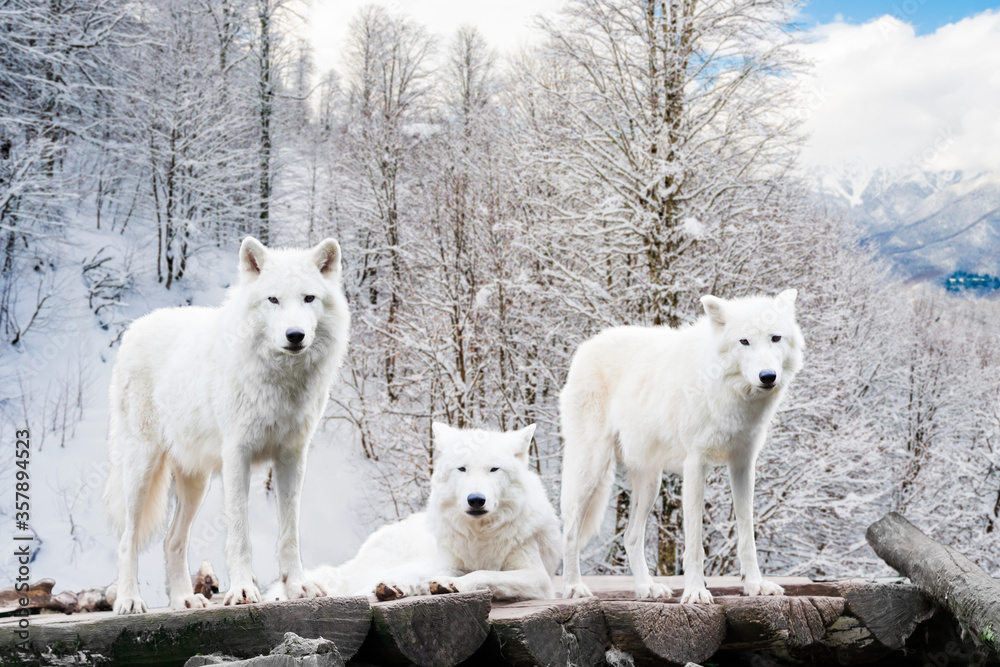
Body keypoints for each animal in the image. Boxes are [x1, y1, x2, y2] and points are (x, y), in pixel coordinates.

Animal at [103, 236, 349, 614]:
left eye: (309, 298)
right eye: (273, 299)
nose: (295, 335)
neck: (280, 381)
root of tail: (134, 327)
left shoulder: (292, 457)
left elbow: (289, 532)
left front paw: (298, 587)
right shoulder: (237, 455)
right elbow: (239, 532)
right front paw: (244, 591)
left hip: (195, 483)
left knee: (171, 540)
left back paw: (184, 600)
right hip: (141, 469)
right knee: (127, 539)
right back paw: (130, 600)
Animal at [295, 423, 561, 601]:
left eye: (494, 469)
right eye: (462, 469)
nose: (476, 500)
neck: (480, 535)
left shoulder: (538, 577)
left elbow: (486, 574)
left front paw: (452, 584)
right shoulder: (446, 563)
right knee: (362, 588)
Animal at [559, 290, 804, 603]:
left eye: (775, 338)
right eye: (744, 341)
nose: (768, 376)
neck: (729, 395)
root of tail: (586, 346)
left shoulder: (743, 465)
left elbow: (747, 535)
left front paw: (755, 585)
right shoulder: (695, 465)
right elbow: (694, 543)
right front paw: (696, 591)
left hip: (650, 483)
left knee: (630, 537)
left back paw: (647, 588)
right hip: (592, 468)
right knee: (570, 530)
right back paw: (574, 587)